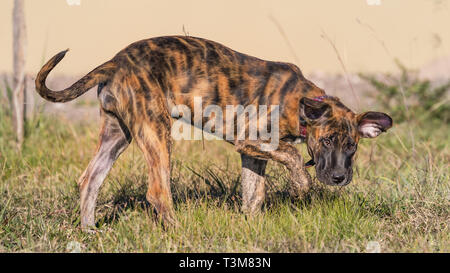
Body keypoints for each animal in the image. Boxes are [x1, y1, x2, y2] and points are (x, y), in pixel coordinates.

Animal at [37, 35, 392, 228]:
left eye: (352, 146)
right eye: (327, 140)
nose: (339, 178)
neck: (299, 99)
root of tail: (115, 61)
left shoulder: (254, 155)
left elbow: (254, 194)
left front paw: (253, 227)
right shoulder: (251, 141)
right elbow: (292, 154)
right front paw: (300, 186)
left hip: (118, 133)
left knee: (89, 180)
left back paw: (88, 231)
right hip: (156, 131)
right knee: (158, 192)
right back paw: (177, 232)